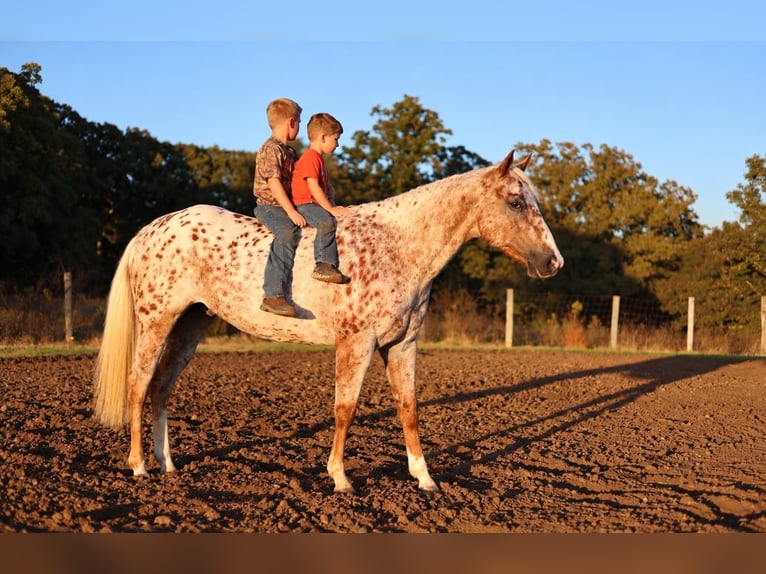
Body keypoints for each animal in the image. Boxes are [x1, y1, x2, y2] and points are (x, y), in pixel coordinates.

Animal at [93, 149, 563, 493]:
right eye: (516, 202)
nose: (553, 262)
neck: (397, 246)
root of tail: (151, 230)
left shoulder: (403, 345)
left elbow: (409, 409)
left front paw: (425, 478)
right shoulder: (356, 343)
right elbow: (345, 409)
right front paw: (340, 479)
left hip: (189, 326)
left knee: (161, 390)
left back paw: (168, 465)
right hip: (157, 323)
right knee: (138, 385)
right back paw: (139, 467)